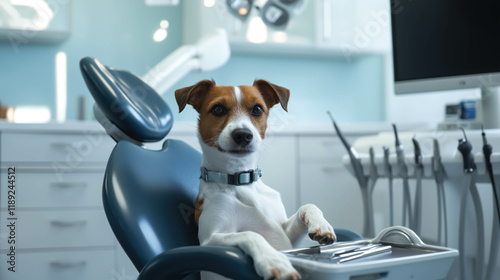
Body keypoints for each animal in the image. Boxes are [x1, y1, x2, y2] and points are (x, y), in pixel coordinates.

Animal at [176, 80, 336, 278]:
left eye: (257, 109)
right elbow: (250, 234)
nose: (243, 134)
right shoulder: (209, 239)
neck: (241, 182)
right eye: (218, 109)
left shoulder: (287, 238)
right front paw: (274, 261)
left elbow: (307, 206)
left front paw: (321, 224)